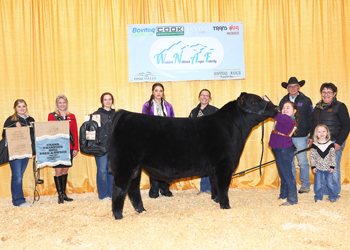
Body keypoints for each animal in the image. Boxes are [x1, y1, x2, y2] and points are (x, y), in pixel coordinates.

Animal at [108, 93, 278, 220]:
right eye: (255, 101)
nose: (276, 108)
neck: (233, 127)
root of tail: (124, 114)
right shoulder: (225, 165)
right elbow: (223, 187)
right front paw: (226, 206)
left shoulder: (214, 168)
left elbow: (215, 184)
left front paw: (215, 200)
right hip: (125, 166)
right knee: (119, 189)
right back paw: (118, 215)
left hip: (135, 169)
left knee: (133, 190)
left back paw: (141, 210)